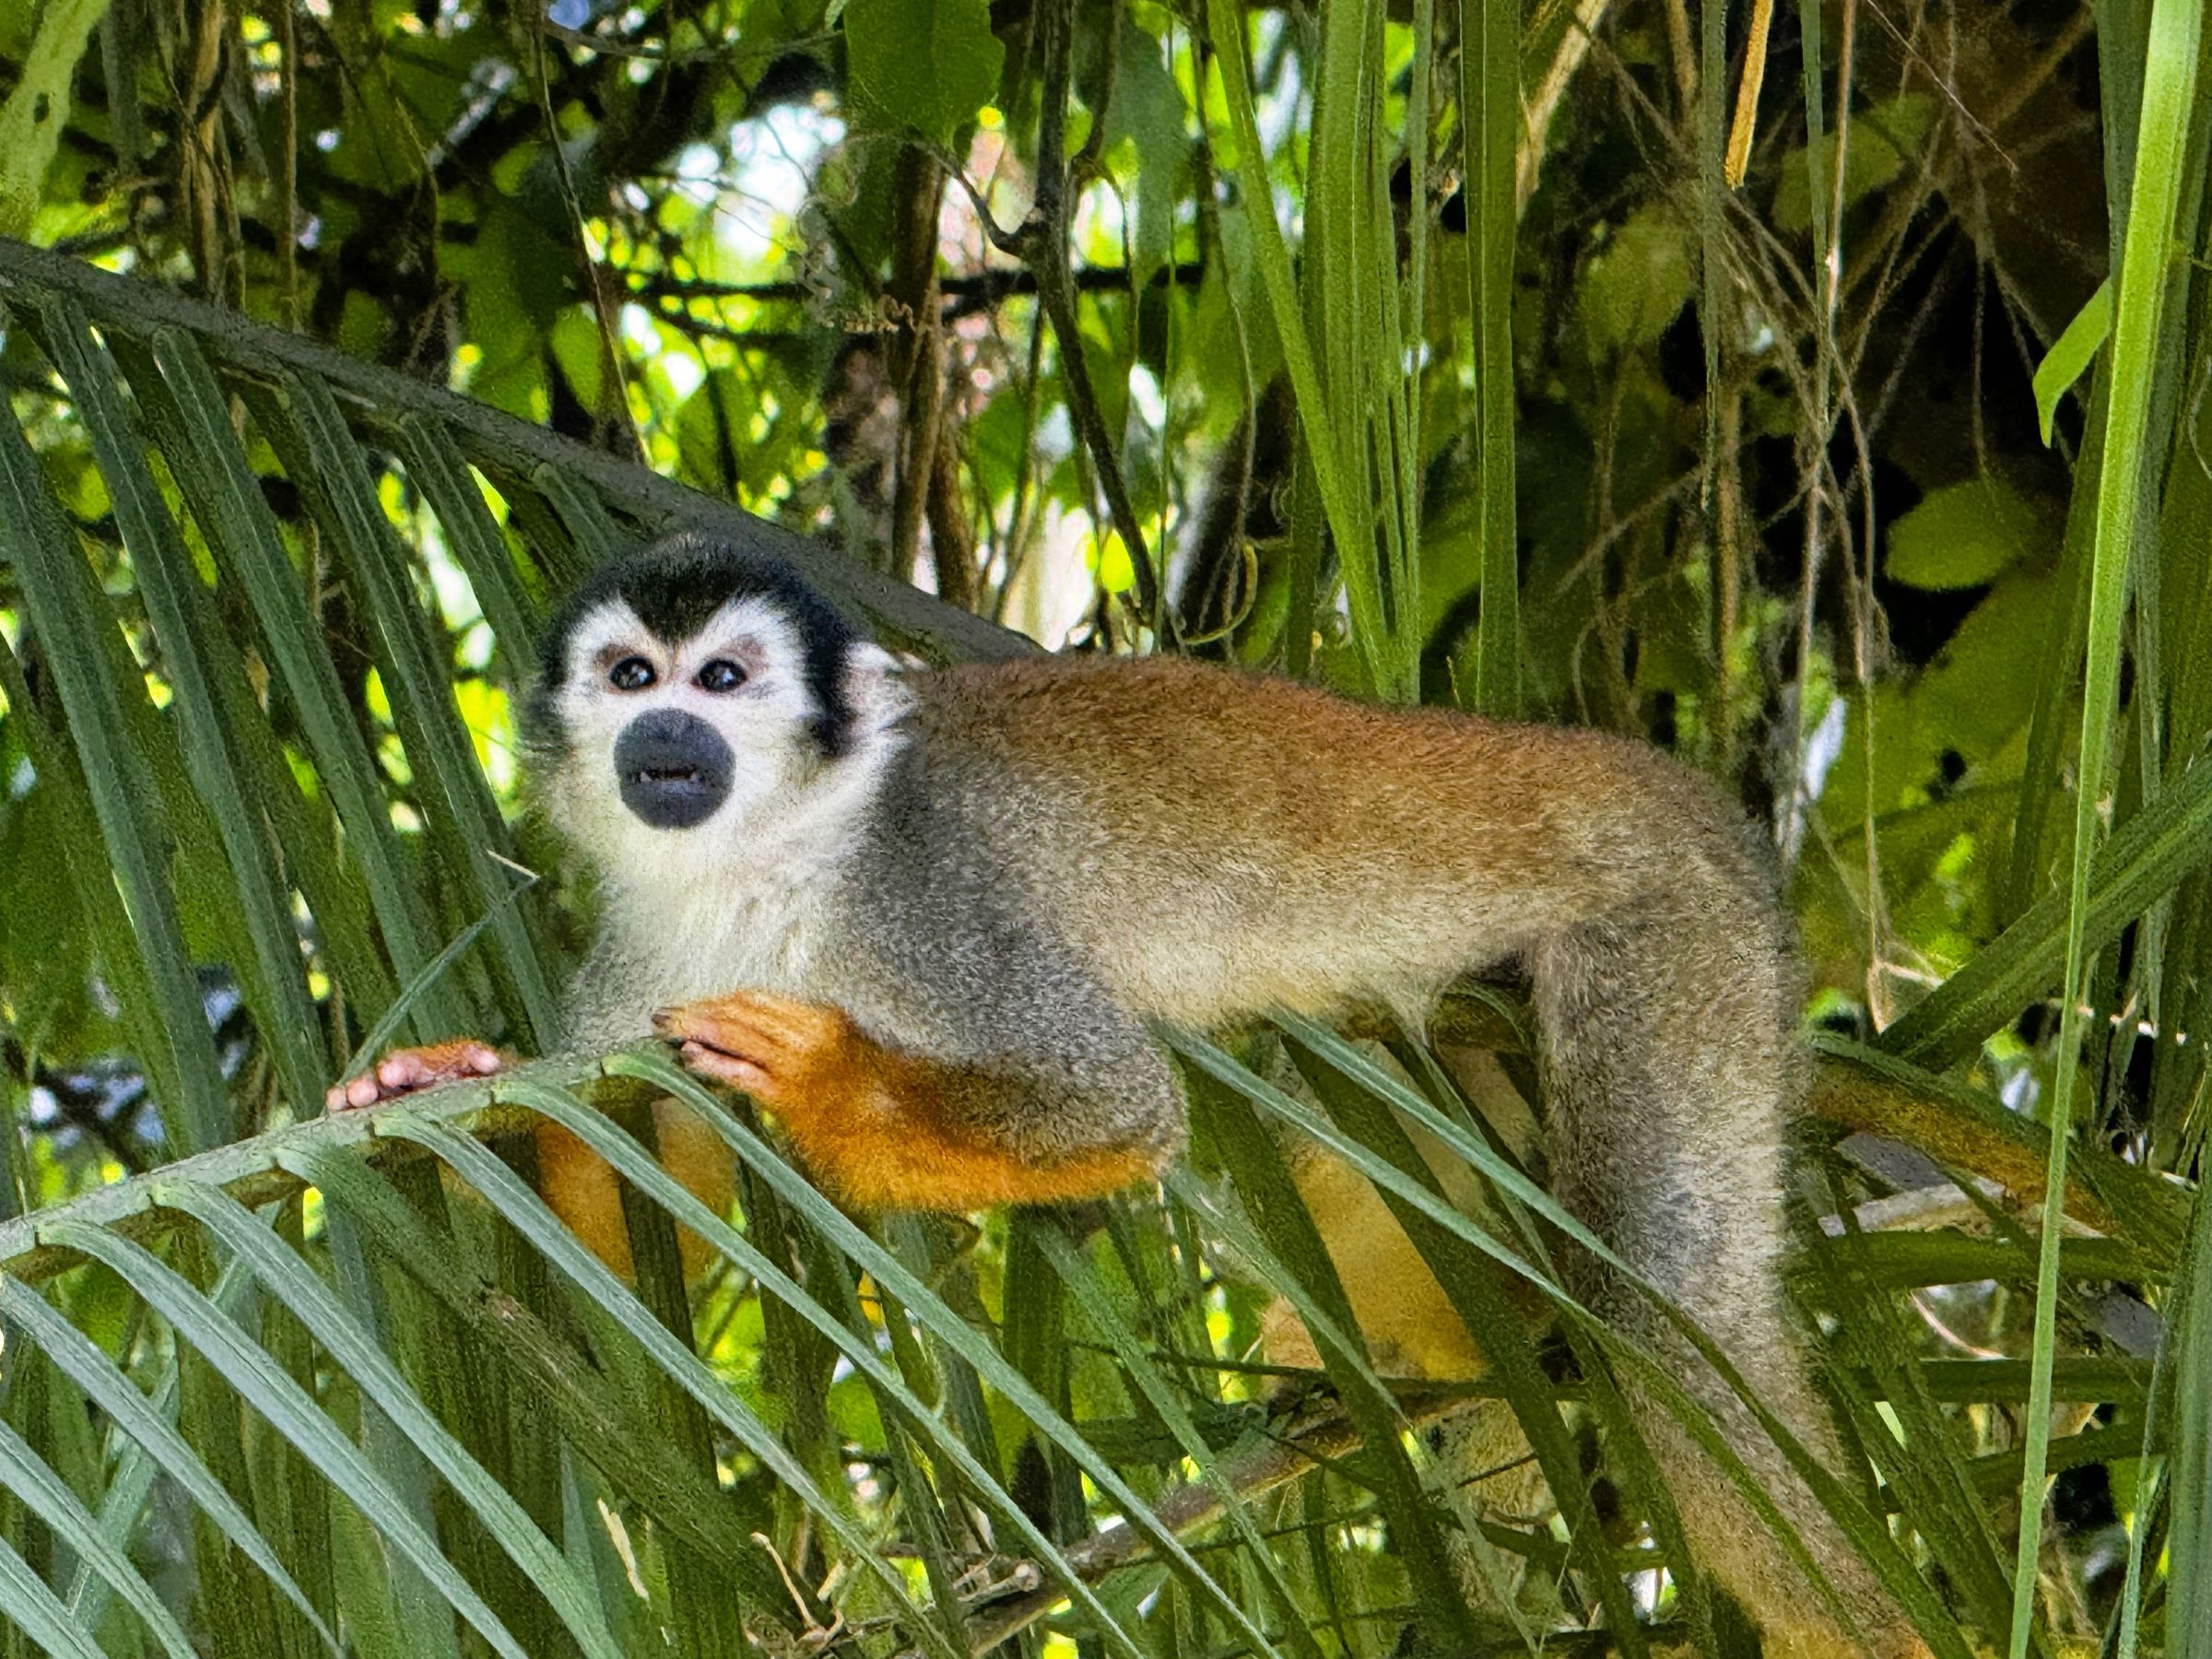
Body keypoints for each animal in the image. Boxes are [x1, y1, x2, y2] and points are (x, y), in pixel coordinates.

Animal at [328, 530, 1932, 1659]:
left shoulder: (929, 905)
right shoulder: (636, 961)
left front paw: (831, 1080)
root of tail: (1664, 783)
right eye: (628, 678)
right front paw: (443, 1087)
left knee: (1666, 1312)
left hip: (1680, 938)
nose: (668, 739)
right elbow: (630, 1232)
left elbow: (1113, 1105)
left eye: (721, 681)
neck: (770, 858)